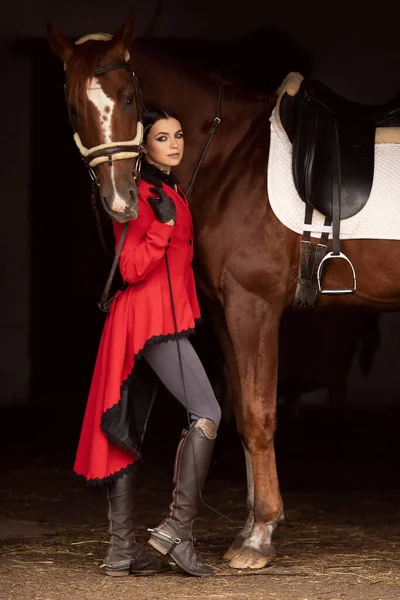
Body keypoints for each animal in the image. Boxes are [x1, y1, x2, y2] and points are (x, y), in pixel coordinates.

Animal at [47, 12, 400, 568]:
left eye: (129, 98)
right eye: (73, 106)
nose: (122, 201)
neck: (232, 156)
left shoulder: (254, 308)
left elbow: (257, 414)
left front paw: (259, 538)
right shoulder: (225, 313)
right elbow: (237, 413)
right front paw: (253, 525)